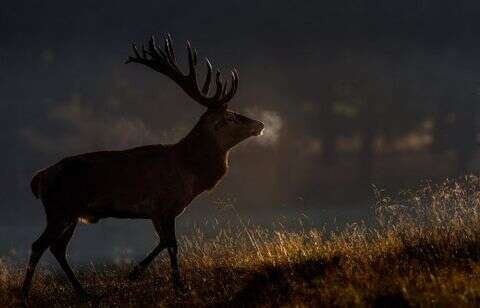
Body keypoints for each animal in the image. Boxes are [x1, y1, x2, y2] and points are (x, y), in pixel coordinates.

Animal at [21, 34, 262, 304]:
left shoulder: (160, 211)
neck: (189, 172)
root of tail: (38, 179)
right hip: (59, 209)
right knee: (38, 245)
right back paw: (25, 294)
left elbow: (164, 242)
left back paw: (84, 292)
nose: (261, 124)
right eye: (231, 117)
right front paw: (175, 285)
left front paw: (137, 273)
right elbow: (172, 244)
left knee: (57, 248)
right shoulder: (163, 205)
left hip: (70, 214)